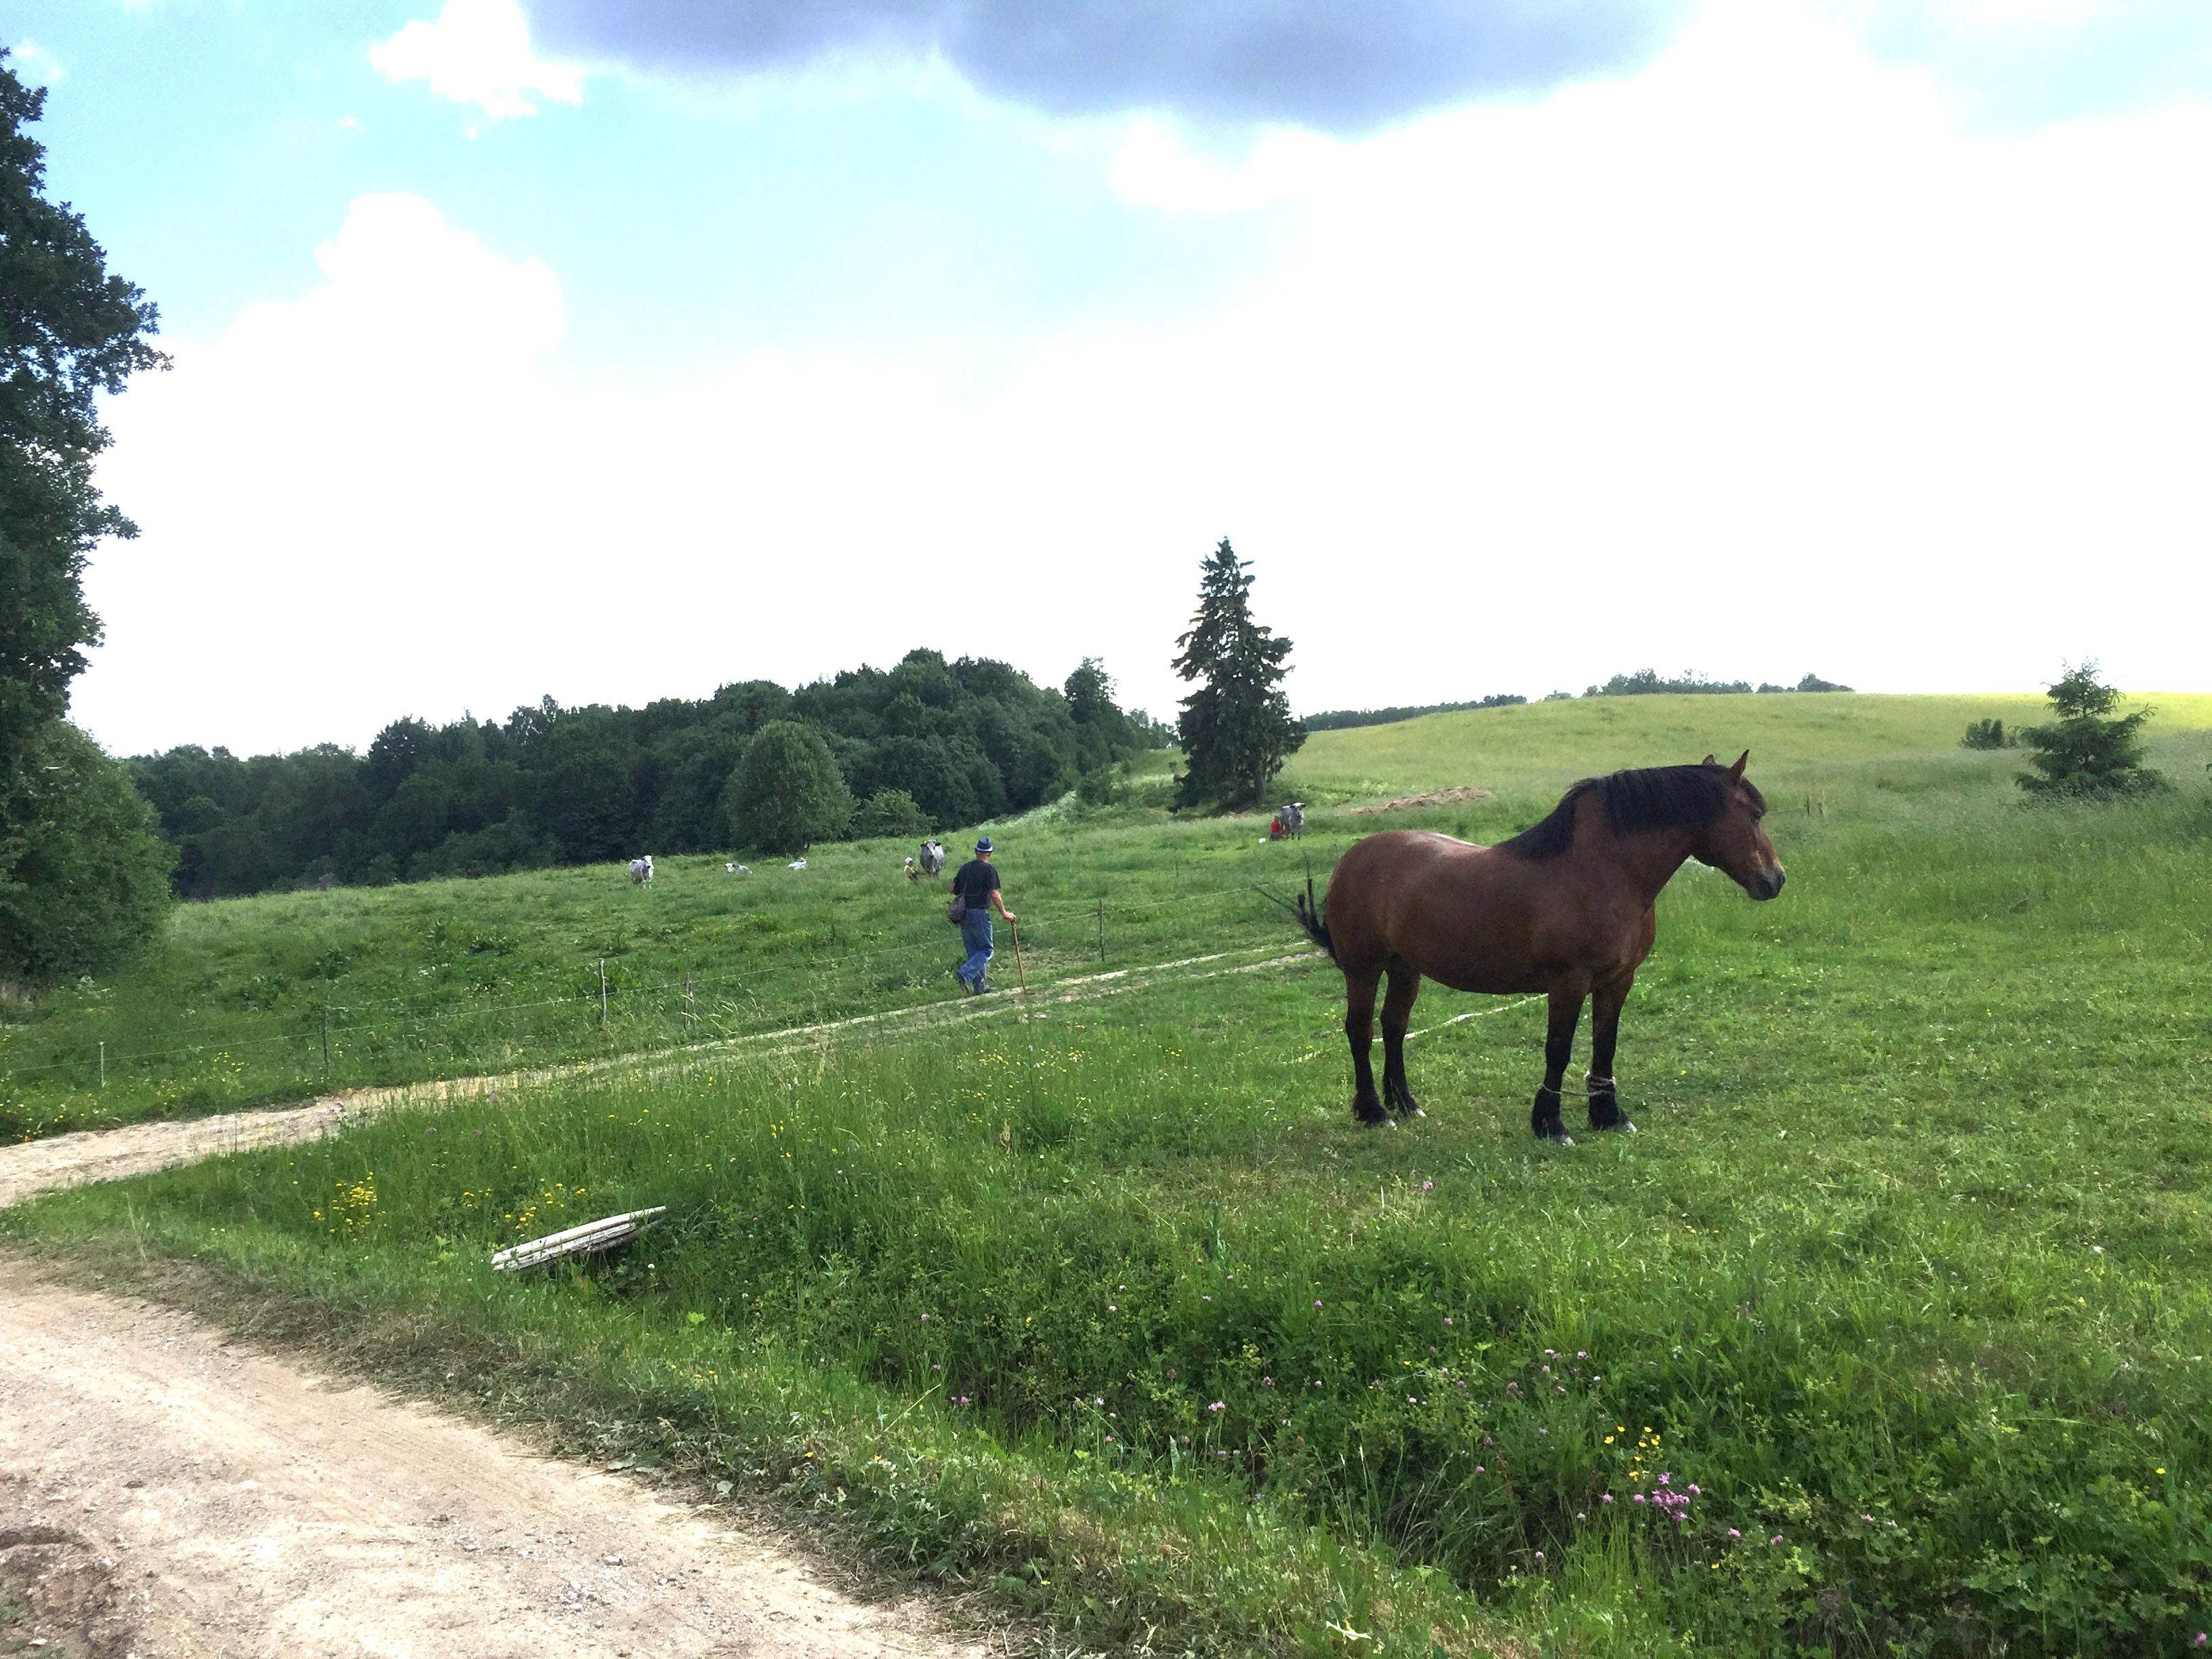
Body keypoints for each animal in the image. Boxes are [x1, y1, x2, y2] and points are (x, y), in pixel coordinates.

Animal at [1292, 752, 1778, 1141]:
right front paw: (1551, 1125)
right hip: (1364, 969)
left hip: (1405, 968)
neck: (1600, 871)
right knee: (1360, 1031)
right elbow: (1558, 1050)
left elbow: (1606, 1046)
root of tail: (1353, 858)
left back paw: (1408, 1105)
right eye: (1754, 814)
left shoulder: (1618, 981)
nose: (1775, 880)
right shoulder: (1568, 982)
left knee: (1393, 1027)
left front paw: (1609, 1117)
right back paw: (1374, 1111)